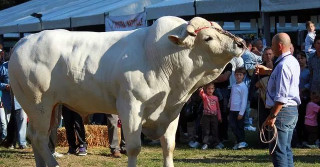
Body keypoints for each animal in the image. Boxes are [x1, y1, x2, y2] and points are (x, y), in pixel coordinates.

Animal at [9, 16, 245, 167]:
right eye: (208, 38)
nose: (241, 43)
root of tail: (24, 41)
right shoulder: (131, 106)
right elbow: (133, 147)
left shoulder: (172, 112)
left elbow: (169, 146)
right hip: (38, 103)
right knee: (39, 137)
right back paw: (53, 164)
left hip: (51, 107)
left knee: (36, 136)